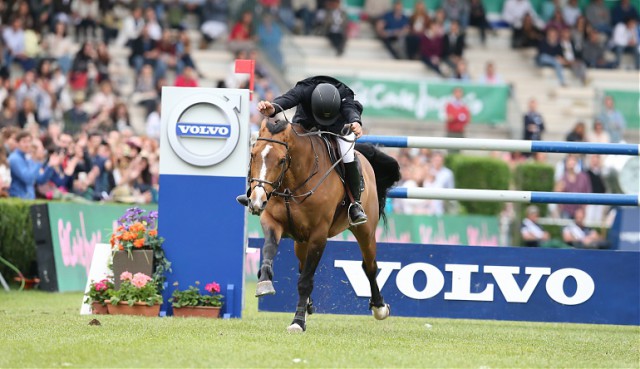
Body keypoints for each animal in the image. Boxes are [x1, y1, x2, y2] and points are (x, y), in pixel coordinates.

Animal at [246, 119, 400, 332]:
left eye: (282, 160)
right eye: (253, 155)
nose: (257, 200)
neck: (293, 184)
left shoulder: (318, 236)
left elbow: (306, 281)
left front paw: (297, 322)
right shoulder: (272, 221)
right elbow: (269, 250)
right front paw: (264, 282)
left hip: (365, 231)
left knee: (369, 266)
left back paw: (379, 307)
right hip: (300, 240)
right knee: (302, 265)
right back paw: (308, 305)